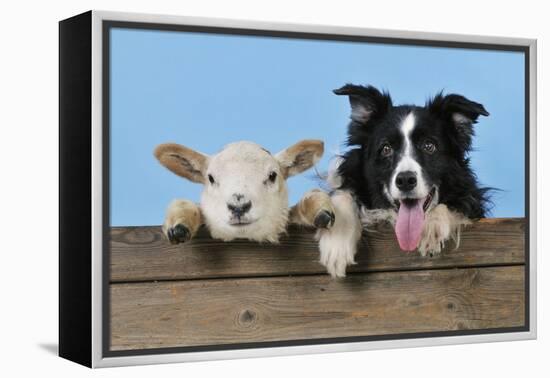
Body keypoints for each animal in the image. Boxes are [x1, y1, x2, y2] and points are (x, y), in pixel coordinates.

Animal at [320, 84, 492, 276]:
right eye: (386, 148)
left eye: (429, 146)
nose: (405, 181)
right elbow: (344, 193)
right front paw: (337, 247)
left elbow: (452, 205)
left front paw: (431, 229)